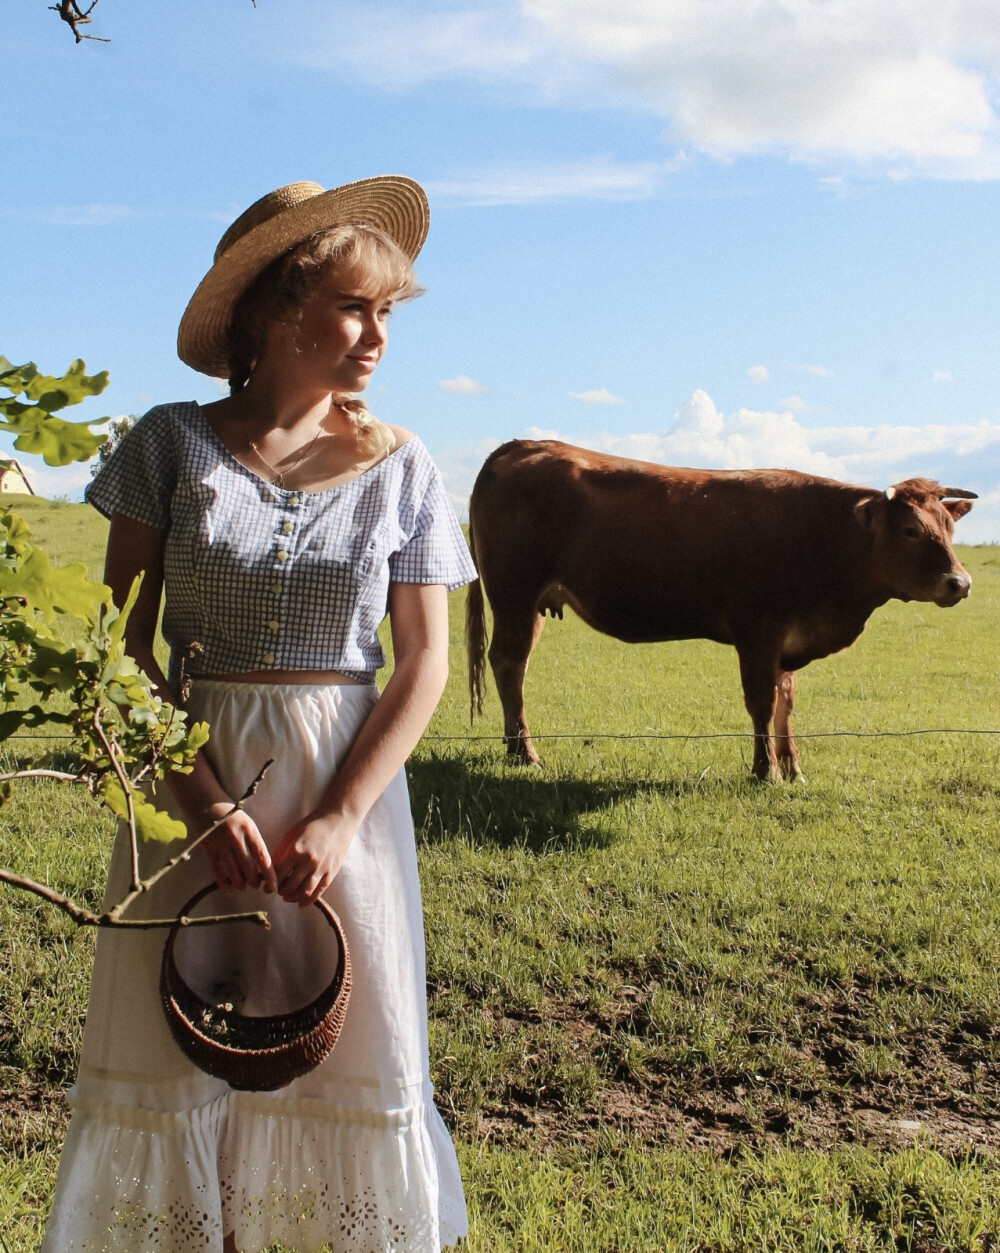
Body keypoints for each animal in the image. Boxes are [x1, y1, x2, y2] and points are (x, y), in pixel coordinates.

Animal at [471, 436, 977, 776]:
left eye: (950, 527)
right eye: (910, 530)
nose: (961, 583)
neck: (825, 536)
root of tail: (524, 444)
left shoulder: (787, 640)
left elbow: (785, 700)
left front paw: (792, 765)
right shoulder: (758, 631)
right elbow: (761, 702)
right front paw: (765, 771)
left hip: (535, 603)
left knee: (514, 665)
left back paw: (516, 747)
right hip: (514, 595)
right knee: (509, 663)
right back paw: (524, 753)